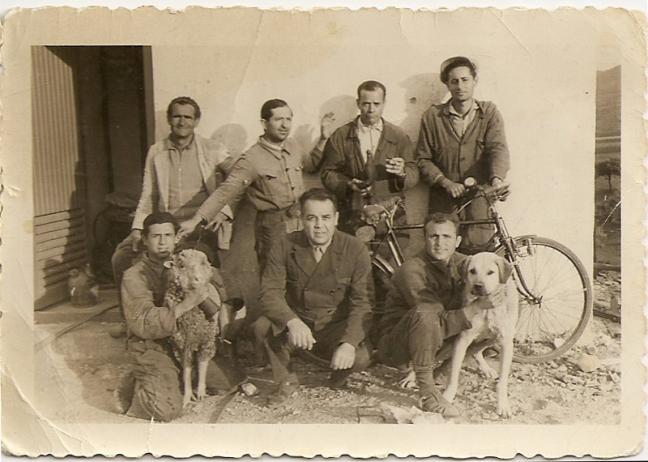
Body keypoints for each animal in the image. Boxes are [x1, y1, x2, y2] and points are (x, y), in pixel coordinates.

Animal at [441, 252, 519, 418]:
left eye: (491, 272)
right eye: (472, 271)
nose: (478, 286)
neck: (487, 308)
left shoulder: (506, 342)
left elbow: (502, 382)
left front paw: (503, 404)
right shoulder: (463, 338)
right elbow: (453, 374)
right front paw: (447, 396)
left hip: (494, 336)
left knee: (478, 350)